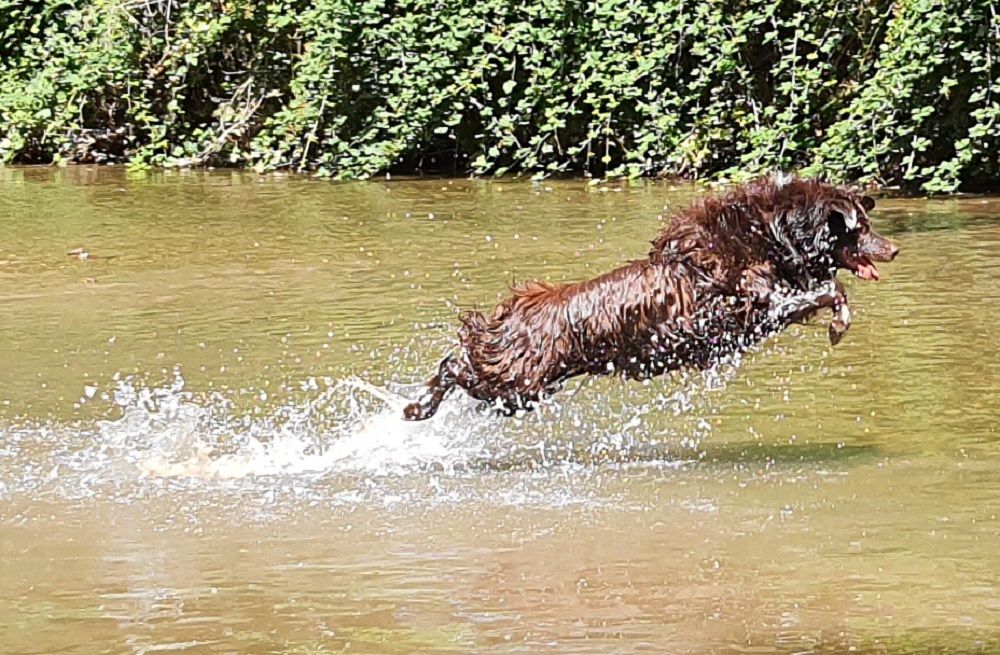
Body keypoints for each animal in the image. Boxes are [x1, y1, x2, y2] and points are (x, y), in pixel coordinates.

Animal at [402, 174, 904, 420]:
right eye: (859, 228)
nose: (895, 248)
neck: (771, 234)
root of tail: (516, 309)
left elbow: (828, 290)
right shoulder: (761, 303)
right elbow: (830, 289)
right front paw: (838, 325)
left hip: (523, 389)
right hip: (517, 381)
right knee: (454, 364)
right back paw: (416, 407)